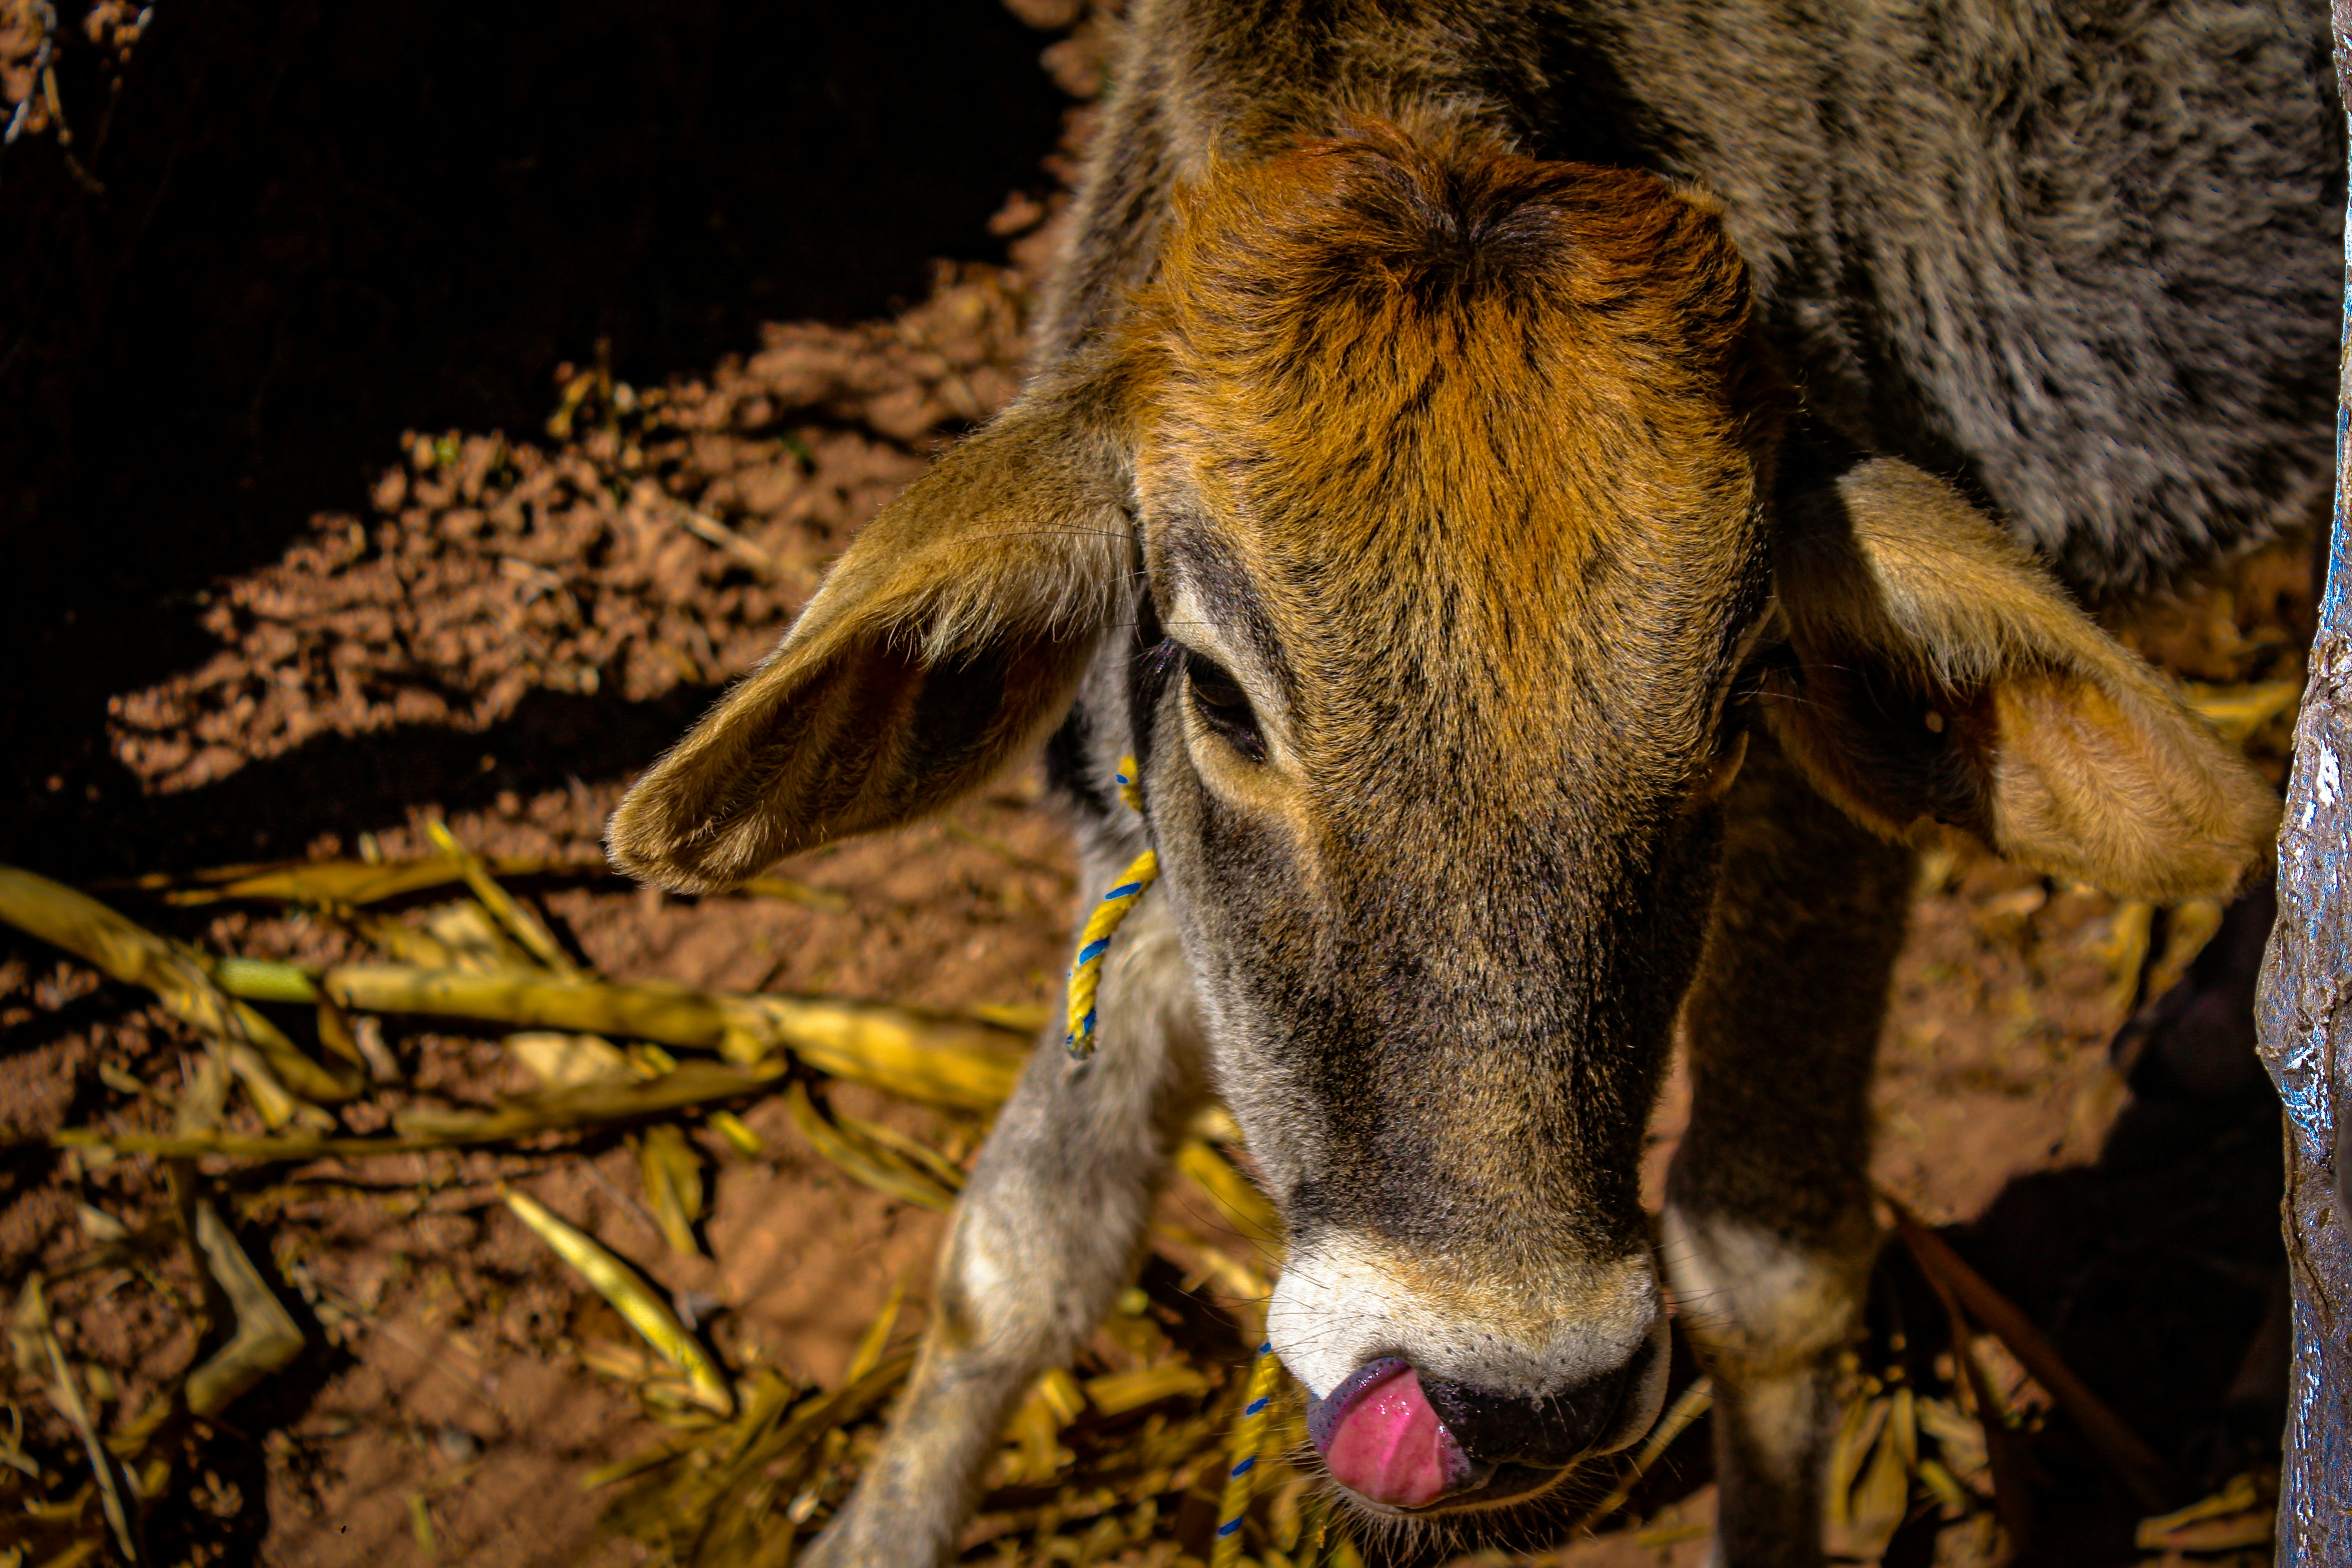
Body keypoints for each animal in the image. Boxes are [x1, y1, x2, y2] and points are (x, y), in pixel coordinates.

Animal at [605, 2, 2335, 1562]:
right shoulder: (1146, 845)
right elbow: (1023, 1245)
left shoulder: (1825, 836)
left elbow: (1767, 1268)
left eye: (1735, 697)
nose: (1517, 1400)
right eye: (1220, 692)